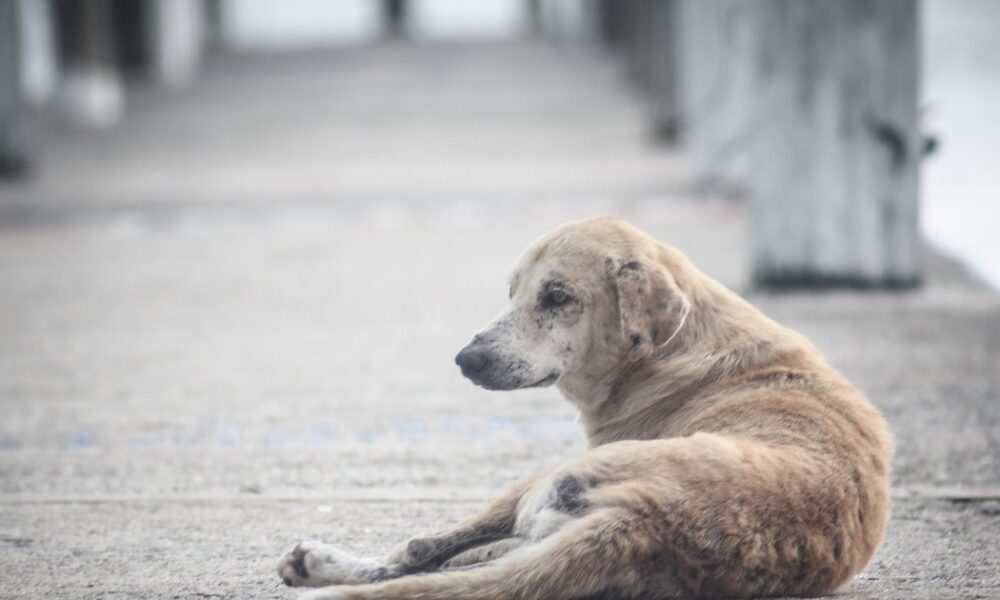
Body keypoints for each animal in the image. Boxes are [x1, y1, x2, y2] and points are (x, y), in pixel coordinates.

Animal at [278, 218, 896, 596]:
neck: (676, 348)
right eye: (512, 293)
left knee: (417, 554)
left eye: (557, 297)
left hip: (544, 479)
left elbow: (423, 549)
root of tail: (646, 520)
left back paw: (321, 564)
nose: (465, 359)